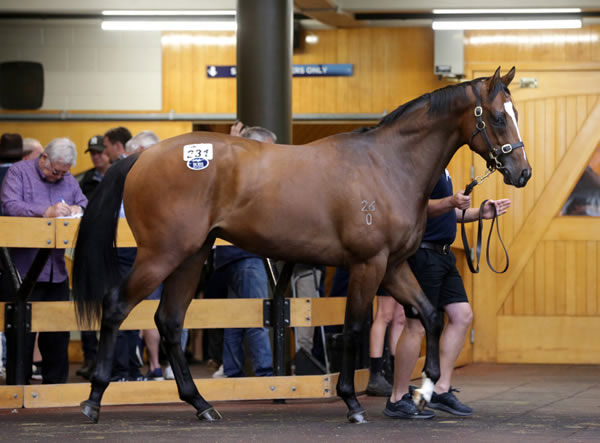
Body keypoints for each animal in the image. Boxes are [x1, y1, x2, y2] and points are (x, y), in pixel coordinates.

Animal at [74, 66, 528, 424]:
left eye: (516, 114)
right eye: (497, 117)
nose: (521, 172)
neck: (388, 165)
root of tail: (143, 156)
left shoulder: (395, 265)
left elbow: (431, 317)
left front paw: (424, 391)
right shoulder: (368, 265)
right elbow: (355, 328)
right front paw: (352, 402)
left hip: (191, 256)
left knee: (169, 321)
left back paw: (201, 404)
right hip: (161, 255)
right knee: (115, 307)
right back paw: (94, 400)